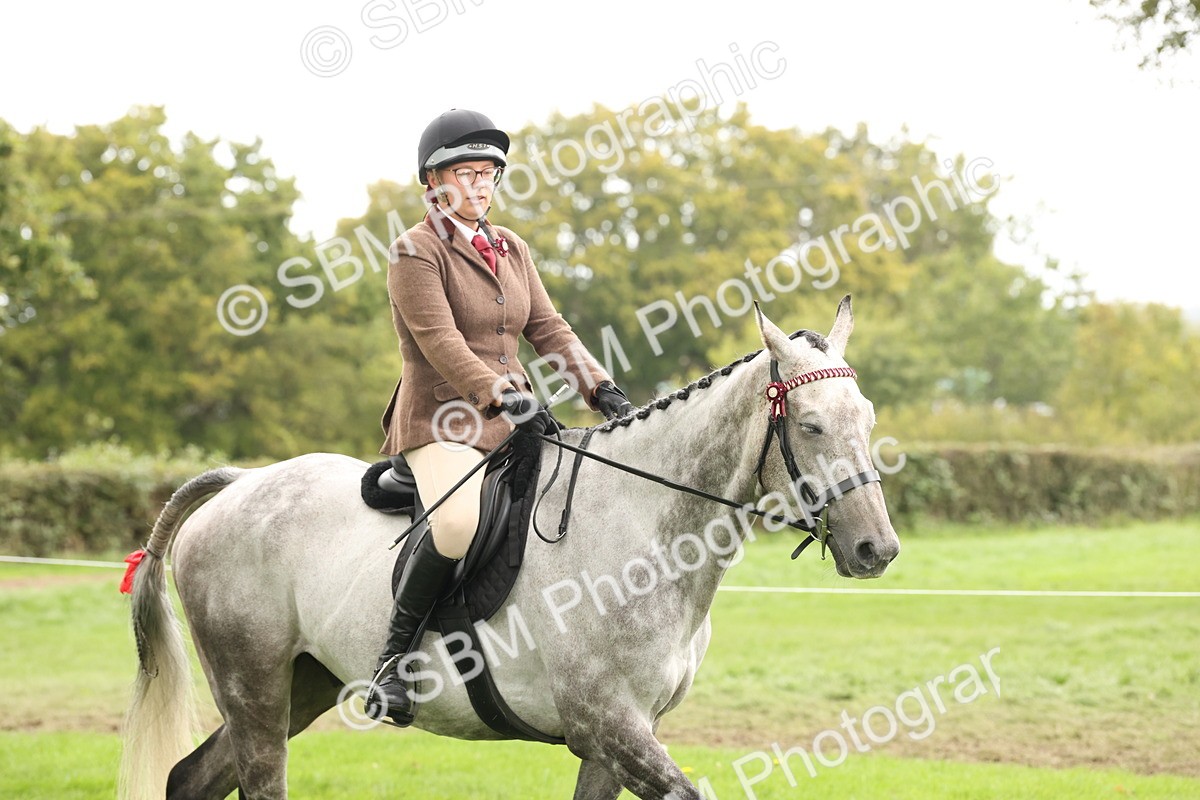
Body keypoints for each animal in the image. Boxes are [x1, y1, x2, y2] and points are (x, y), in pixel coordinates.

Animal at [118, 297, 900, 800]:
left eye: (866, 418)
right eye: (810, 425)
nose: (877, 549)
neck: (644, 534)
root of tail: (240, 483)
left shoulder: (616, 741)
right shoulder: (610, 725)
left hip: (299, 685)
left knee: (191, 779)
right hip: (252, 686)